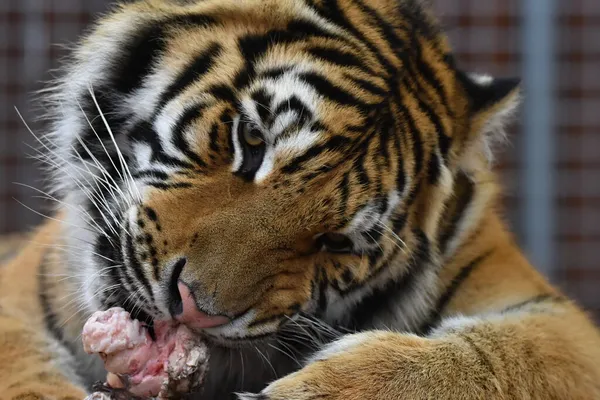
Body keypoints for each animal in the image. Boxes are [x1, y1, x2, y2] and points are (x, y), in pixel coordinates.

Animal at [1, 0, 600, 398]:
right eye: (251, 139)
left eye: (335, 242)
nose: (192, 308)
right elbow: (24, 368)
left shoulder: (555, 318)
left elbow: (490, 357)